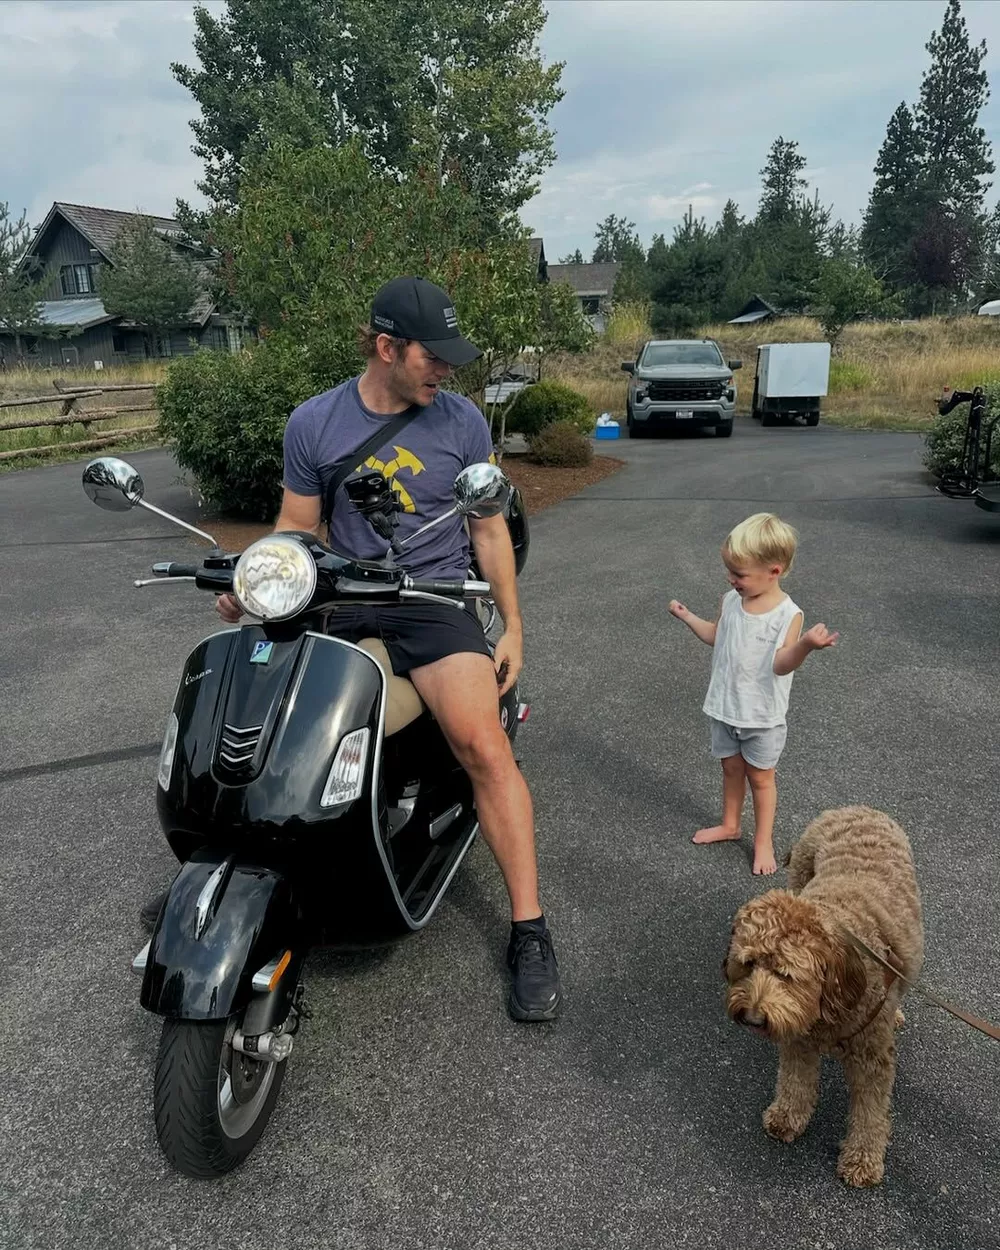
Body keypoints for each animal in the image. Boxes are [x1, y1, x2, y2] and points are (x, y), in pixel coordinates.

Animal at [723, 806, 924, 1187]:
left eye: (786, 974)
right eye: (750, 963)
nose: (753, 1018)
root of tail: (857, 807)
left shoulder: (873, 1058)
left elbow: (870, 1112)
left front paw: (862, 1160)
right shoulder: (798, 1037)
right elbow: (795, 1081)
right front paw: (787, 1117)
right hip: (801, 871)